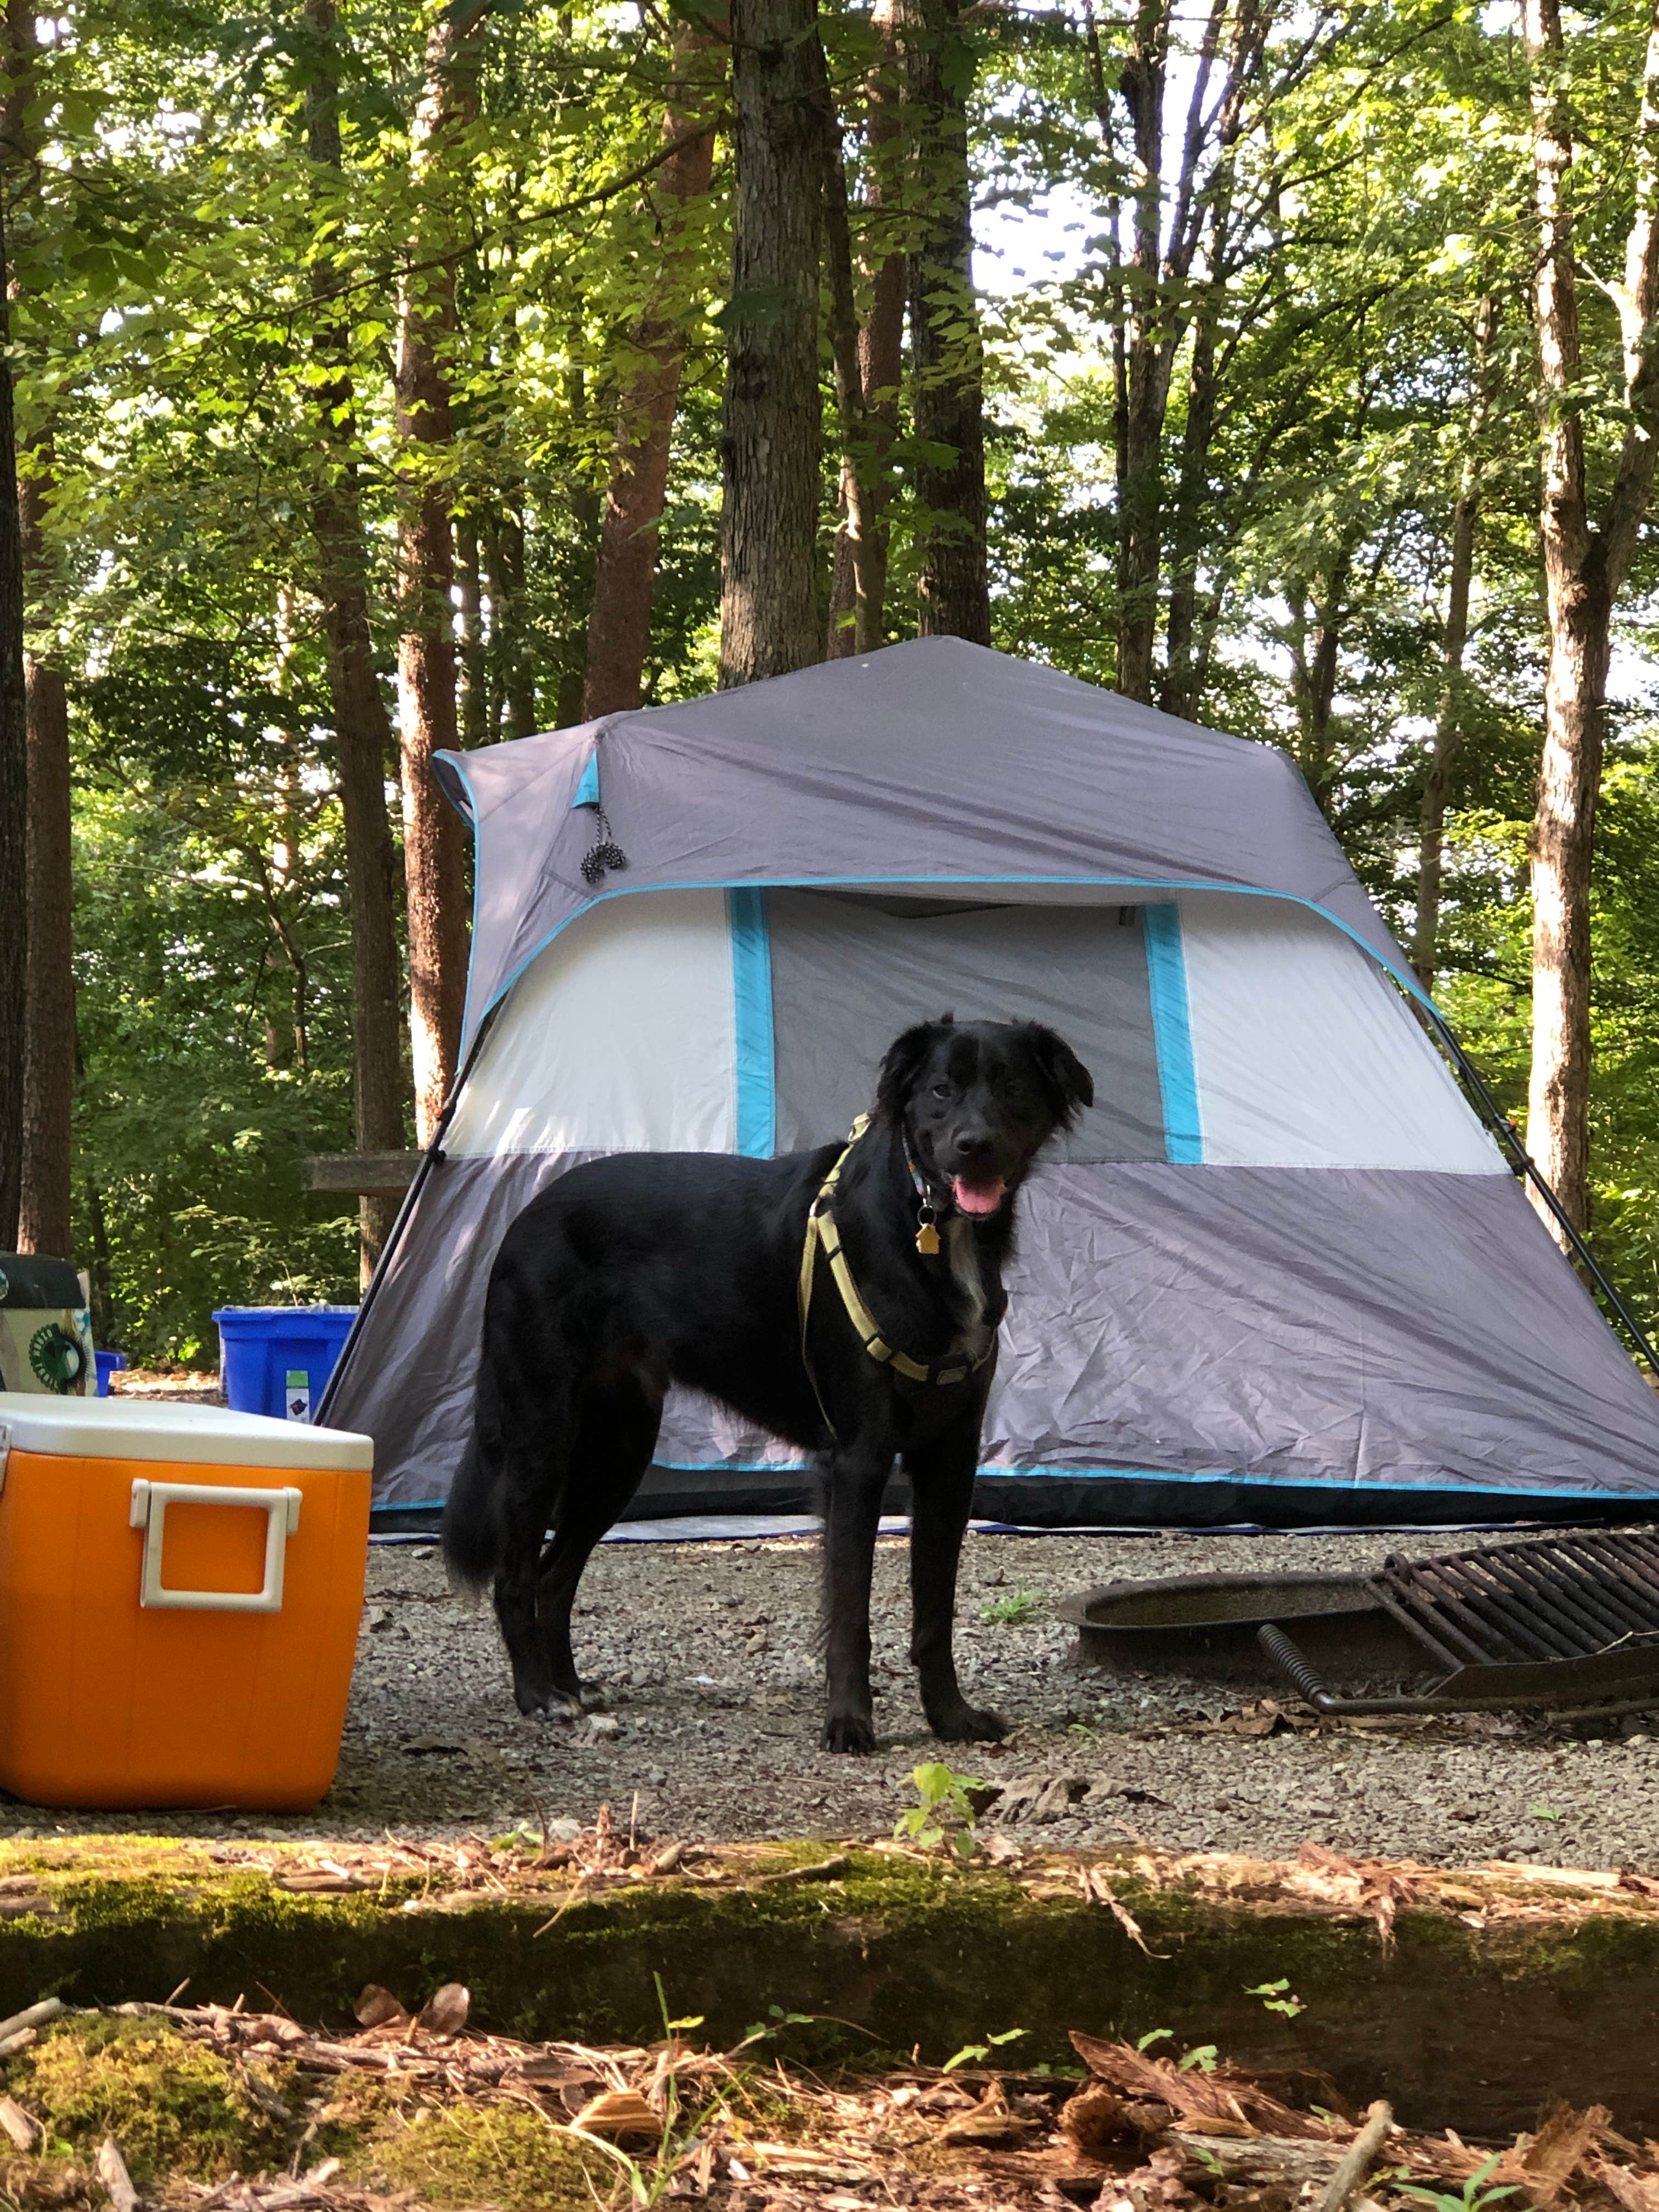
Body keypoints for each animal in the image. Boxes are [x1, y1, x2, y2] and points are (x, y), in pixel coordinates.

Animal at [444, 1013, 1092, 1752]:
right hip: (541, 1433)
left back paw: (570, 1686)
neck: (925, 1226)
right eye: (940, 1090)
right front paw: (849, 1723)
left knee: (556, 1578)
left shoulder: (949, 1457)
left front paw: (951, 1718)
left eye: (1011, 1087)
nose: (972, 1147)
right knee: (516, 1576)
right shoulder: (858, 1456)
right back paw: (537, 1697)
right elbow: (851, 1610)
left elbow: (936, 1608)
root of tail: (525, 1217)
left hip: (618, 1448)